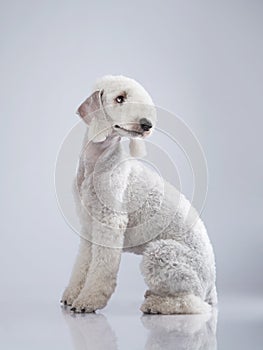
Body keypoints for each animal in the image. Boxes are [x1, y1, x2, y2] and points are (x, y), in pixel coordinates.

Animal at [60, 74, 218, 314]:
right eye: (119, 98)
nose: (147, 125)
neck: (98, 162)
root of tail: (212, 285)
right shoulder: (89, 224)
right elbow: (84, 262)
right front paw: (72, 296)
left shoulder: (111, 222)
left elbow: (101, 267)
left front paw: (89, 300)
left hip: (163, 255)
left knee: (193, 303)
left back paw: (155, 304)